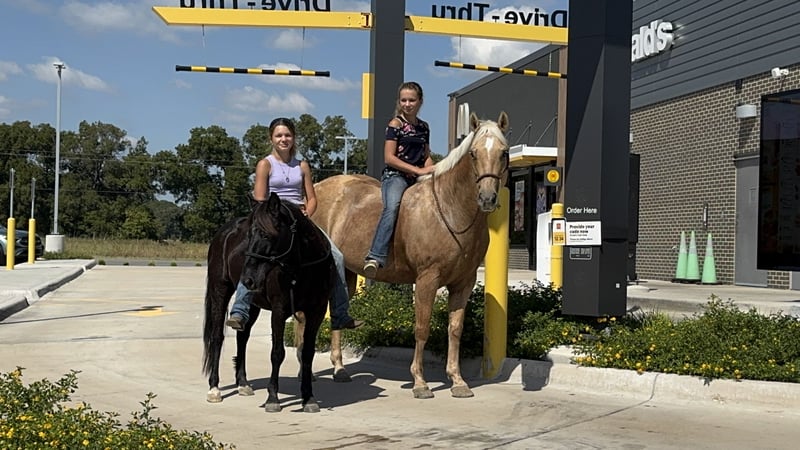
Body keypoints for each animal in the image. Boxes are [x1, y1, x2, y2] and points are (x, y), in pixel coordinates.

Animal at [202, 192, 335, 413]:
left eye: (266, 235)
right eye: (248, 236)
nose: (247, 279)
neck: (302, 268)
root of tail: (222, 233)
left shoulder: (316, 311)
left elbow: (308, 353)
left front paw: (308, 398)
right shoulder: (279, 310)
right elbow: (277, 353)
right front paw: (273, 398)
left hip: (253, 304)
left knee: (242, 337)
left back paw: (243, 384)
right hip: (219, 290)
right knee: (217, 337)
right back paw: (214, 388)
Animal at [311, 111, 510, 399]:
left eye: (504, 153)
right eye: (473, 153)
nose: (487, 198)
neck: (450, 209)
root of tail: (317, 189)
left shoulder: (464, 282)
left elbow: (455, 330)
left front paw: (457, 380)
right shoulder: (427, 279)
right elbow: (422, 328)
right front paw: (420, 382)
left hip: (346, 272)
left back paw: (339, 369)